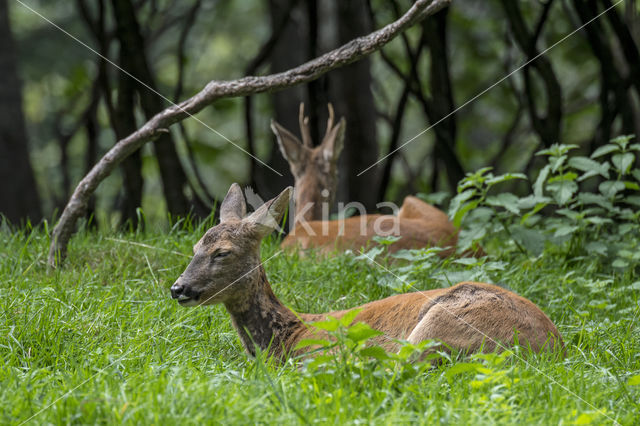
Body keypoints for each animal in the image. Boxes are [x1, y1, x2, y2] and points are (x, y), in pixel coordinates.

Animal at [171, 185, 564, 362]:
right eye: (194, 247)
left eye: (222, 252)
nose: (178, 288)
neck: (289, 335)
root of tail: (551, 346)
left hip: (438, 326)